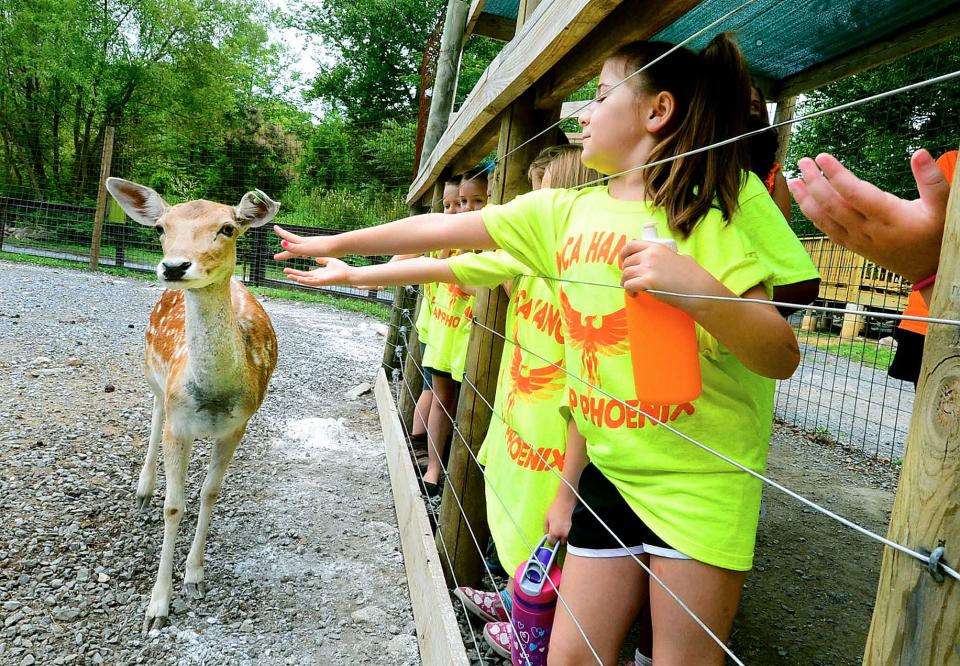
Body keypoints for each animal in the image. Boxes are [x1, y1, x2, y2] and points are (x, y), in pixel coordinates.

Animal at [109, 175, 282, 628]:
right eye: (160, 228)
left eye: (228, 228)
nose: (174, 267)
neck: (212, 397)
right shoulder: (178, 423)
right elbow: (174, 506)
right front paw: (157, 606)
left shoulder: (237, 426)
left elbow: (209, 494)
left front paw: (194, 576)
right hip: (152, 374)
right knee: (153, 413)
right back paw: (143, 488)